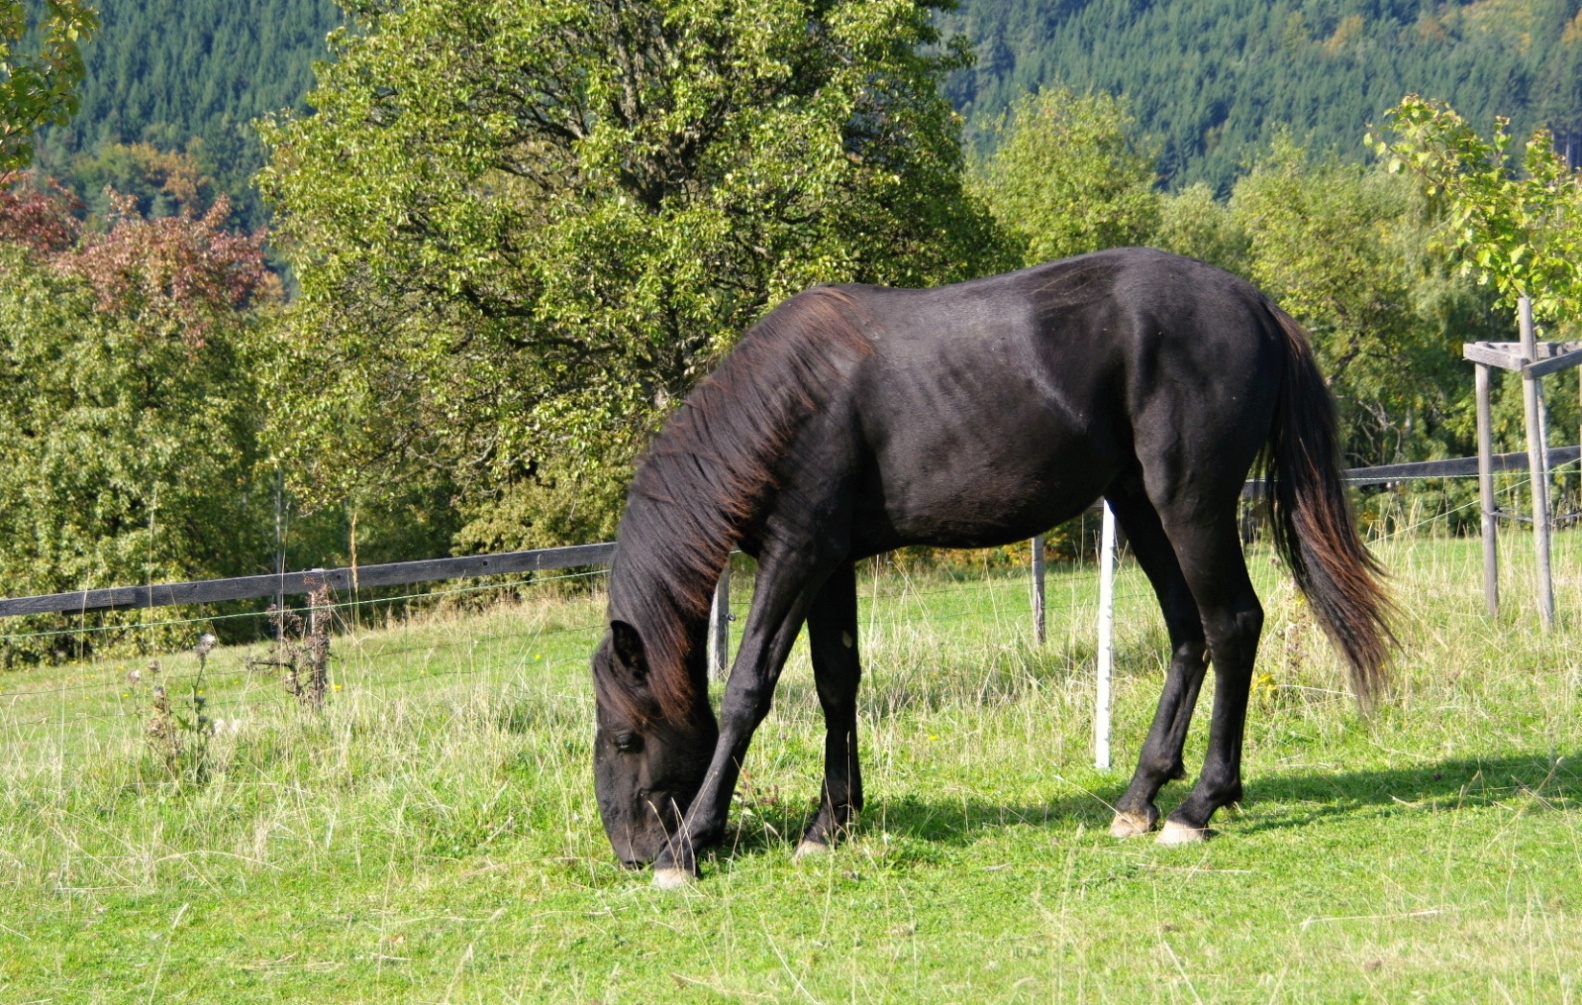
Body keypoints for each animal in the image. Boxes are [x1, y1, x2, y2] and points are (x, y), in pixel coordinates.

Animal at [588, 245, 1392, 886]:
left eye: (626, 737)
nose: (630, 852)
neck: (788, 400)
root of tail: (1256, 305)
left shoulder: (798, 555)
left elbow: (748, 690)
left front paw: (689, 847)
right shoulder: (830, 562)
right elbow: (837, 682)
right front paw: (830, 824)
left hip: (1190, 505)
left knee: (1232, 625)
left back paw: (1198, 806)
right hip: (1138, 506)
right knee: (1189, 633)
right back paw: (1140, 798)